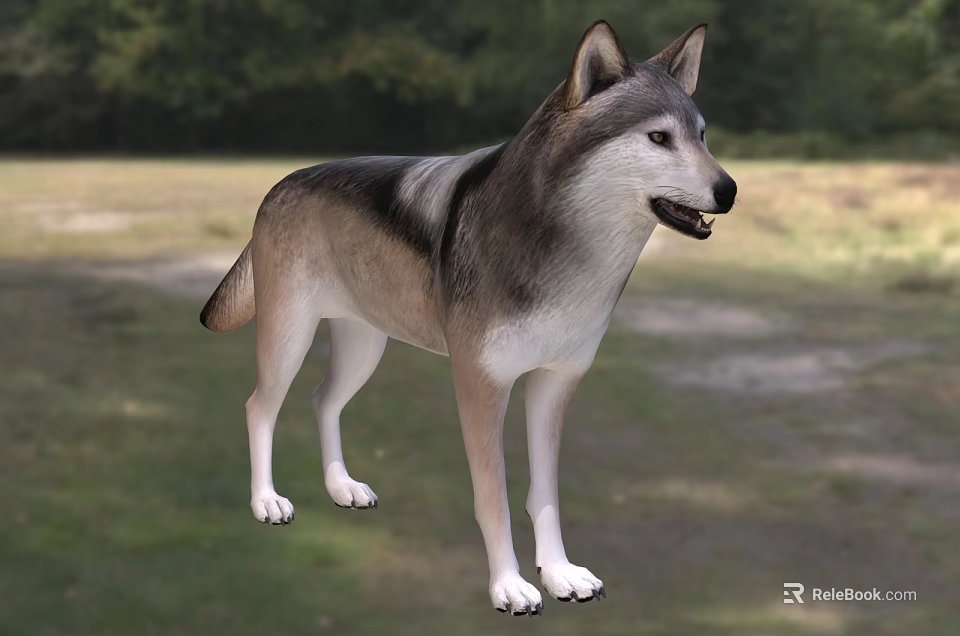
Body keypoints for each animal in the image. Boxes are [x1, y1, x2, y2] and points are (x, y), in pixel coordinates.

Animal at [200, 20, 736, 615]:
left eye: (703, 136)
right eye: (659, 138)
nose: (730, 190)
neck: (572, 259)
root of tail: (279, 183)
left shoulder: (555, 385)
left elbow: (545, 495)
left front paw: (561, 574)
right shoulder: (482, 386)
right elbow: (493, 497)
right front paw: (510, 585)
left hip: (366, 348)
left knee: (322, 399)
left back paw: (343, 489)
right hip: (289, 340)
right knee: (258, 408)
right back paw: (266, 502)